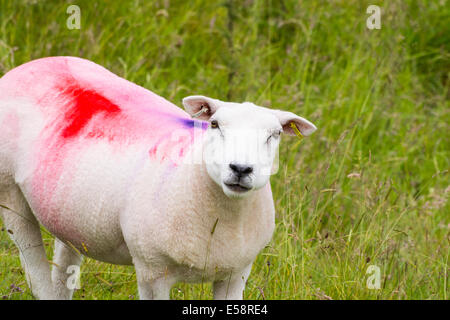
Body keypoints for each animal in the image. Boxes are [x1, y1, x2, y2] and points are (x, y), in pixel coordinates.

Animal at [0, 57, 316, 300]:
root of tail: (37, 63)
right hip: (9, 188)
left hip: (71, 209)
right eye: (215, 124)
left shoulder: (236, 274)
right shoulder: (152, 270)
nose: (240, 168)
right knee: (36, 271)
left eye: (275, 134)